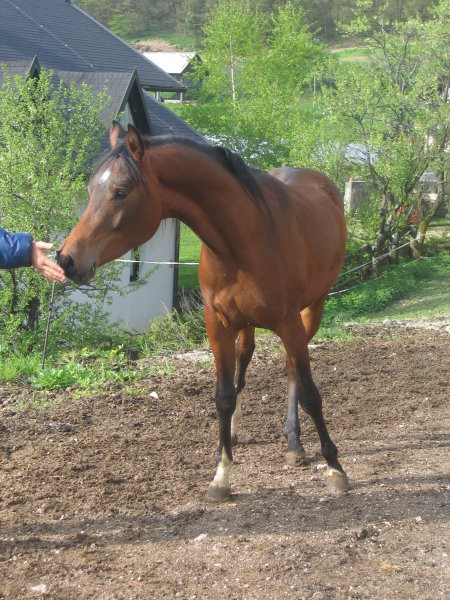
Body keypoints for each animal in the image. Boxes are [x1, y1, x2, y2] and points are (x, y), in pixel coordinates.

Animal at [57, 122, 352, 502]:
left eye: (120, 192)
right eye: (91, 188)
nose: (66, 259)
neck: (245, 236)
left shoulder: (289, 323)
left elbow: (312, 395)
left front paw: (335, 467)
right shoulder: (218, 324)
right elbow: (223, 396)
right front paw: (222, 474)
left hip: (311, 310)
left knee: (291, 375)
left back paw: (294, 443)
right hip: (248, 324)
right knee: (246, 359)